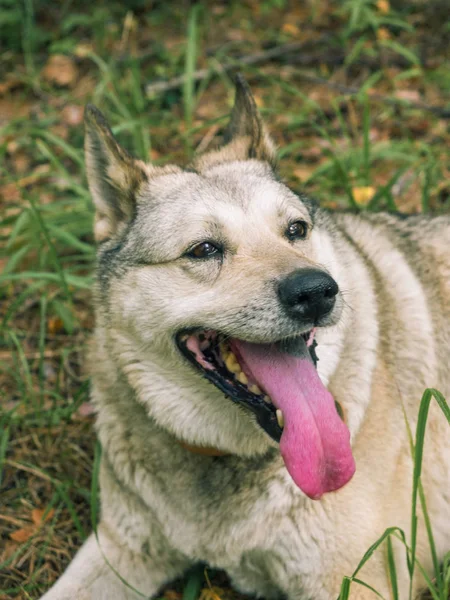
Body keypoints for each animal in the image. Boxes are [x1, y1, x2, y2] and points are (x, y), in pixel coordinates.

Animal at [40, 78, 448, 600]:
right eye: (204, 249)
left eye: (296, 229)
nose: (316, 291)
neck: (222, 455)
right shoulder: (121, 547)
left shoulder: (353, 581)